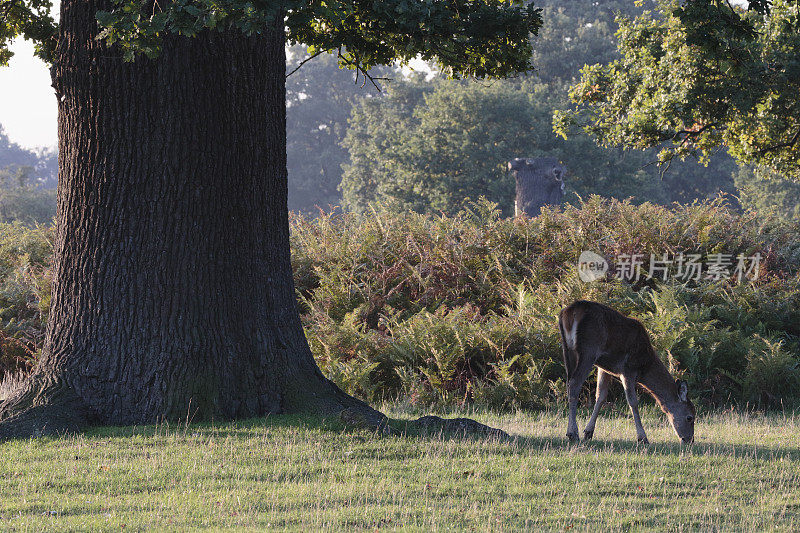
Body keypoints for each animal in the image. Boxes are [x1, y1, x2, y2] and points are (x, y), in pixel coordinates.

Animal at [556, 300, 692, 444]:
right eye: (690, 417)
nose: (690, 440)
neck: (645, 364)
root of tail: (570, 312)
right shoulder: (628, 369)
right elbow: (633, 401)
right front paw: (642, 437)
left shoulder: (604, 368)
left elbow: (601, 396)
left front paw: (588, 432)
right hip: (588, 349)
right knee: (574, 383)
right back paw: (573, 433)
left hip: (567, 349)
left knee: (569, 382)